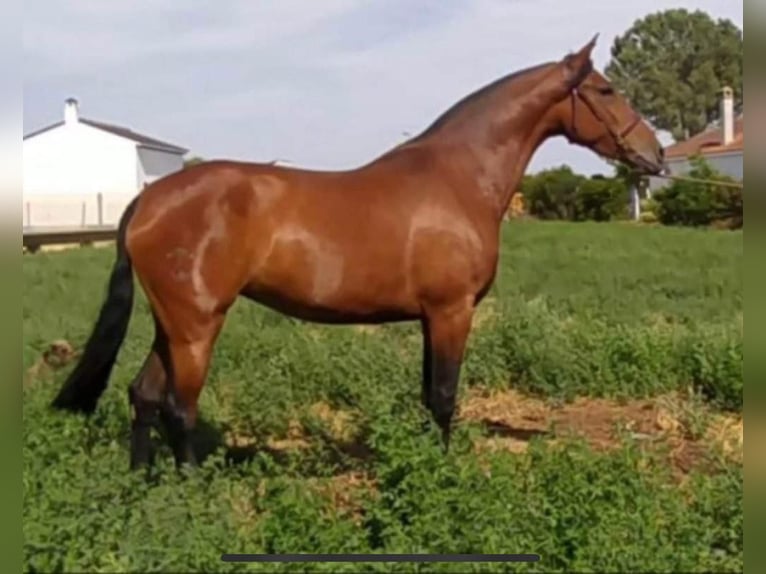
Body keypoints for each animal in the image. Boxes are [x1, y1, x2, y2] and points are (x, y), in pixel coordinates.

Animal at [52, 36, 664, 470]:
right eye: (606, 91)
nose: (654, 153)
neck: (458, 176)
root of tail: (149, 199)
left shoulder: (430, 317)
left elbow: (427, 395)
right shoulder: (452, 311)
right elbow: (444, 397)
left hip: (172, 325)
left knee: (144, 395)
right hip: (196, 327)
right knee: (180, 408)